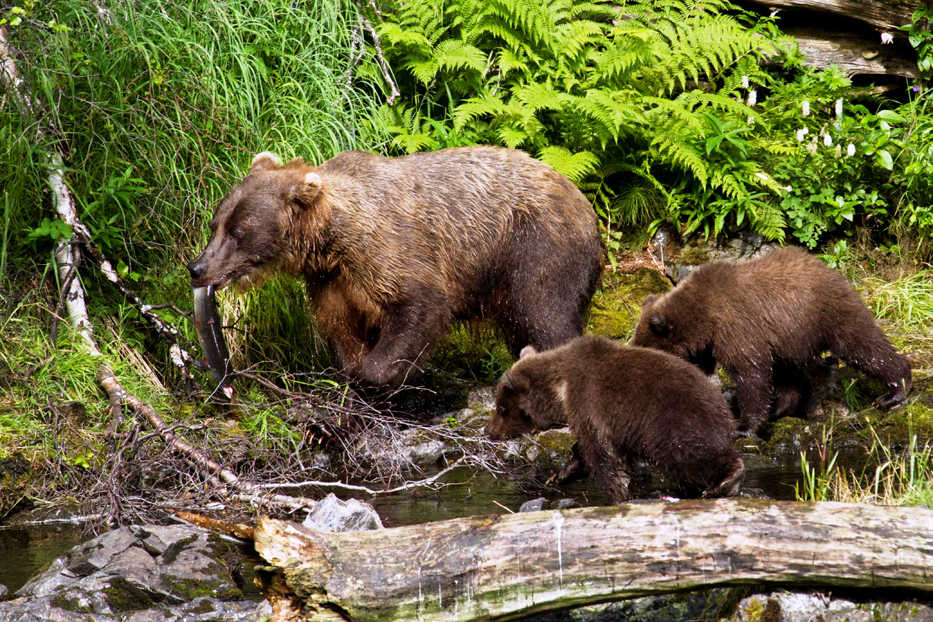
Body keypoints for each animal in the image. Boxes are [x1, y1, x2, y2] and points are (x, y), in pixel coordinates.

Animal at [189, 149, 604, 388]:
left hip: (534, 248)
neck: (330, 241)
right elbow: (341, 327)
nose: (197, 267)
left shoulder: (390, 251)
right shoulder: (331, 280)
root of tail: (586, 204)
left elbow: (420, 305)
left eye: (239, 231)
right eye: (216, 223)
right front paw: (352, 368)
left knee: (546, 314)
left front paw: (385, 372)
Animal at [484, 338, 748, 504]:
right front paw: (562, 473)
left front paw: (617, 494)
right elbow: (589, 451)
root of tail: (722, 403)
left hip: (675, 424)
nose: (489, 430)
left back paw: (727, 480)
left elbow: (602, 454)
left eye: (501, 408)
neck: (561, 390)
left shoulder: (590, 402)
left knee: (692, 456)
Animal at [632, 246, 912, 436]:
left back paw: (894, 391)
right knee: (791, 374)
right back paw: (781, 407)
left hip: (827, 313)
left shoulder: (737, 328)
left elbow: (751, 374)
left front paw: (743, 425)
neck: (703, 319)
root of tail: (829, 268)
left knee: (863, 346)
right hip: (790, 337)